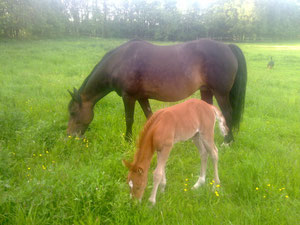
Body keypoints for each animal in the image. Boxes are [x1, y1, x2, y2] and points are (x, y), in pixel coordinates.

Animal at [67, 38, 247, 142]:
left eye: (73, 112)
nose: (70, 137)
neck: (120, 62)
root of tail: (227, 47)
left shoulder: (128, 97)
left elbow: (129, 119)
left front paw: (128, 140)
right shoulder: (141, 97)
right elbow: (150, 117)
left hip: (221, 93)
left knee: (228, 114)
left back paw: (228, 141)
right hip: (206, 90)